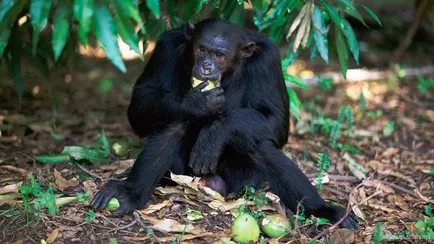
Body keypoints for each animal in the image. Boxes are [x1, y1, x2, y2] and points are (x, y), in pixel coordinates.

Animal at [90, 18, 356, 229]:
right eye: (202, 49)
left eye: (219, 55)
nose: (207, 66)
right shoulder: (165, 48)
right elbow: (141, 101)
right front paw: (197, 103)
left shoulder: (269, 59)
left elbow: (275, 118)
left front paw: (215, 132)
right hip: (178, 173)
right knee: (174, 125)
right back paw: (129, 193)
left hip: (244, 181)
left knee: (257, 144)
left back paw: (323, 210)